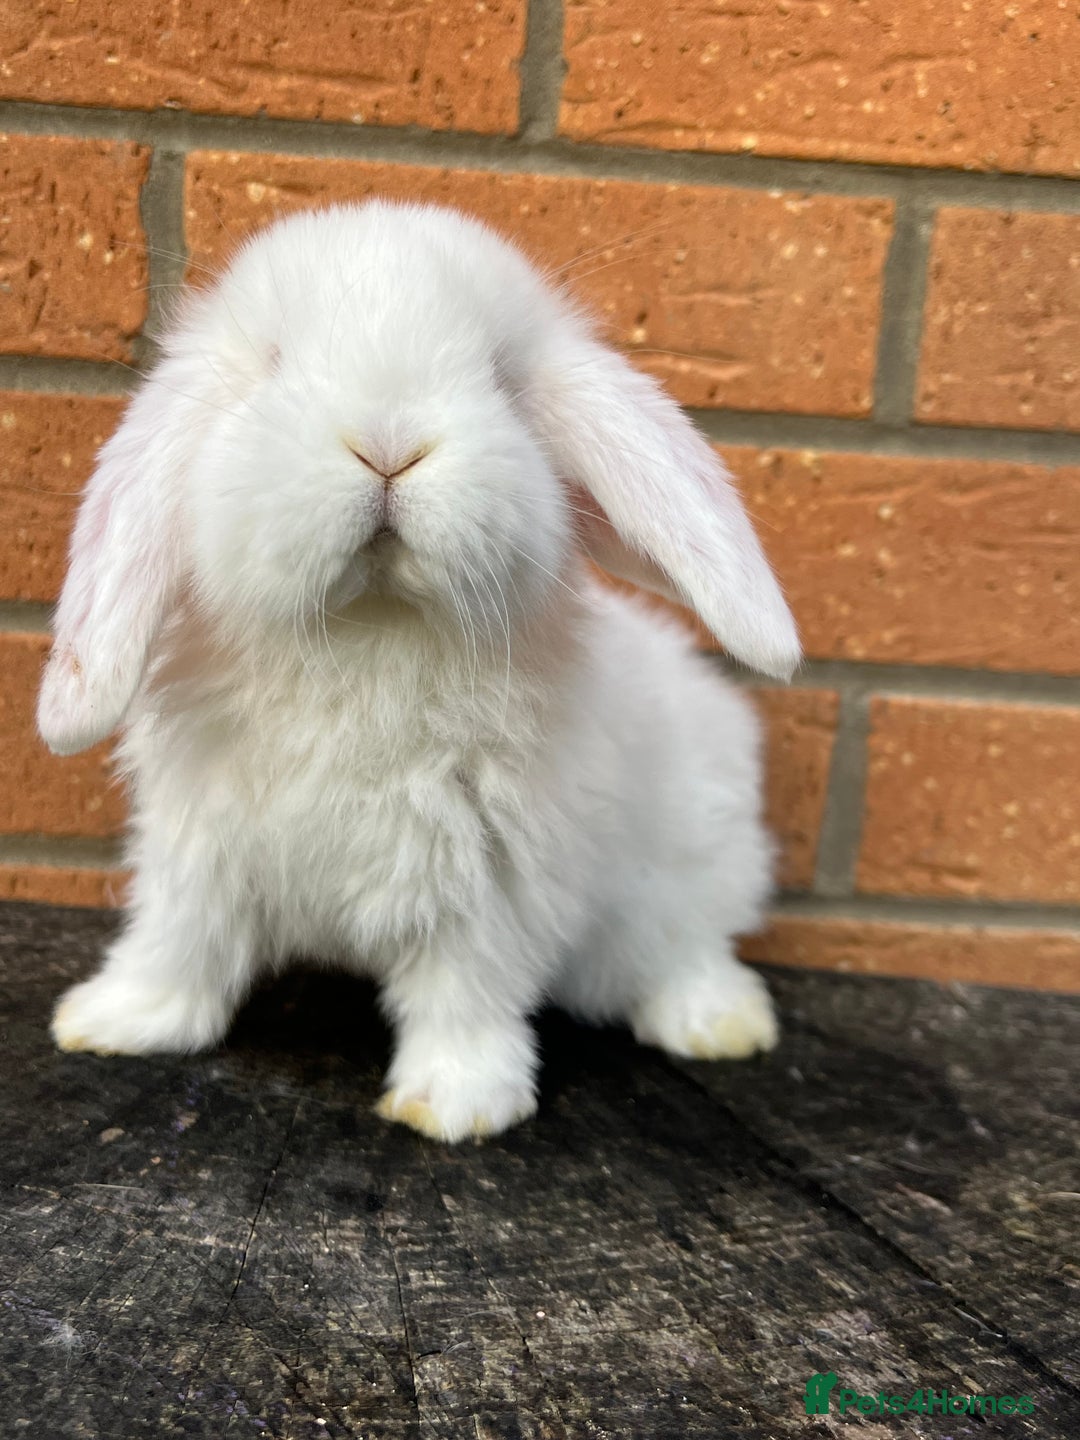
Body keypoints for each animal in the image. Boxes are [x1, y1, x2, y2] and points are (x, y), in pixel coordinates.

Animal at [38, 201, 800, 1143]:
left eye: (503, 378)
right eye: (272, 365)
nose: (388, 445)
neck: (372, 628)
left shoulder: (492, 883)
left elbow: (464, 994)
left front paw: (456, 1106)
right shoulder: (196, 854)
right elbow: (178, 945)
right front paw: (115, 1022)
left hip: (698, 863)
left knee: (690, 949)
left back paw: (721, 1025)